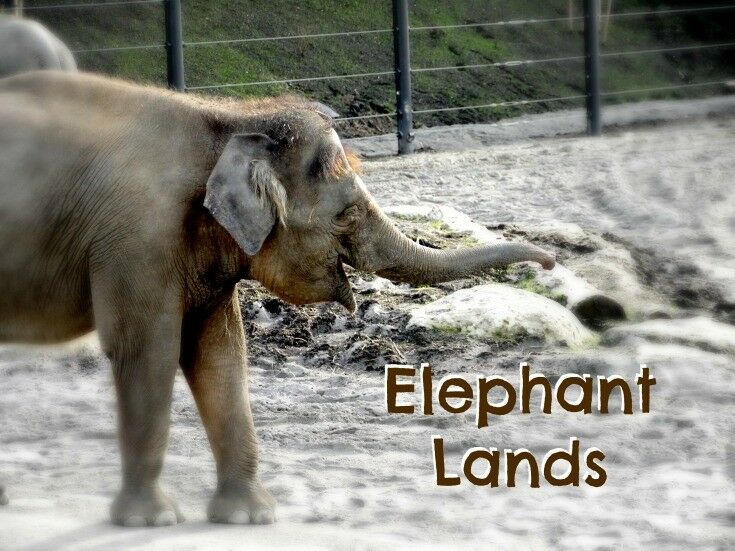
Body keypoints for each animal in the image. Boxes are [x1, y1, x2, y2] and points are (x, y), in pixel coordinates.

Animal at [0, 71, 552, 528]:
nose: (544, 262)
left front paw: (249, 517)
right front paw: (151, 521)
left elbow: (220, 353)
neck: (230, 121)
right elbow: (148, 351)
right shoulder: (137, 238)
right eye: (346, 215)